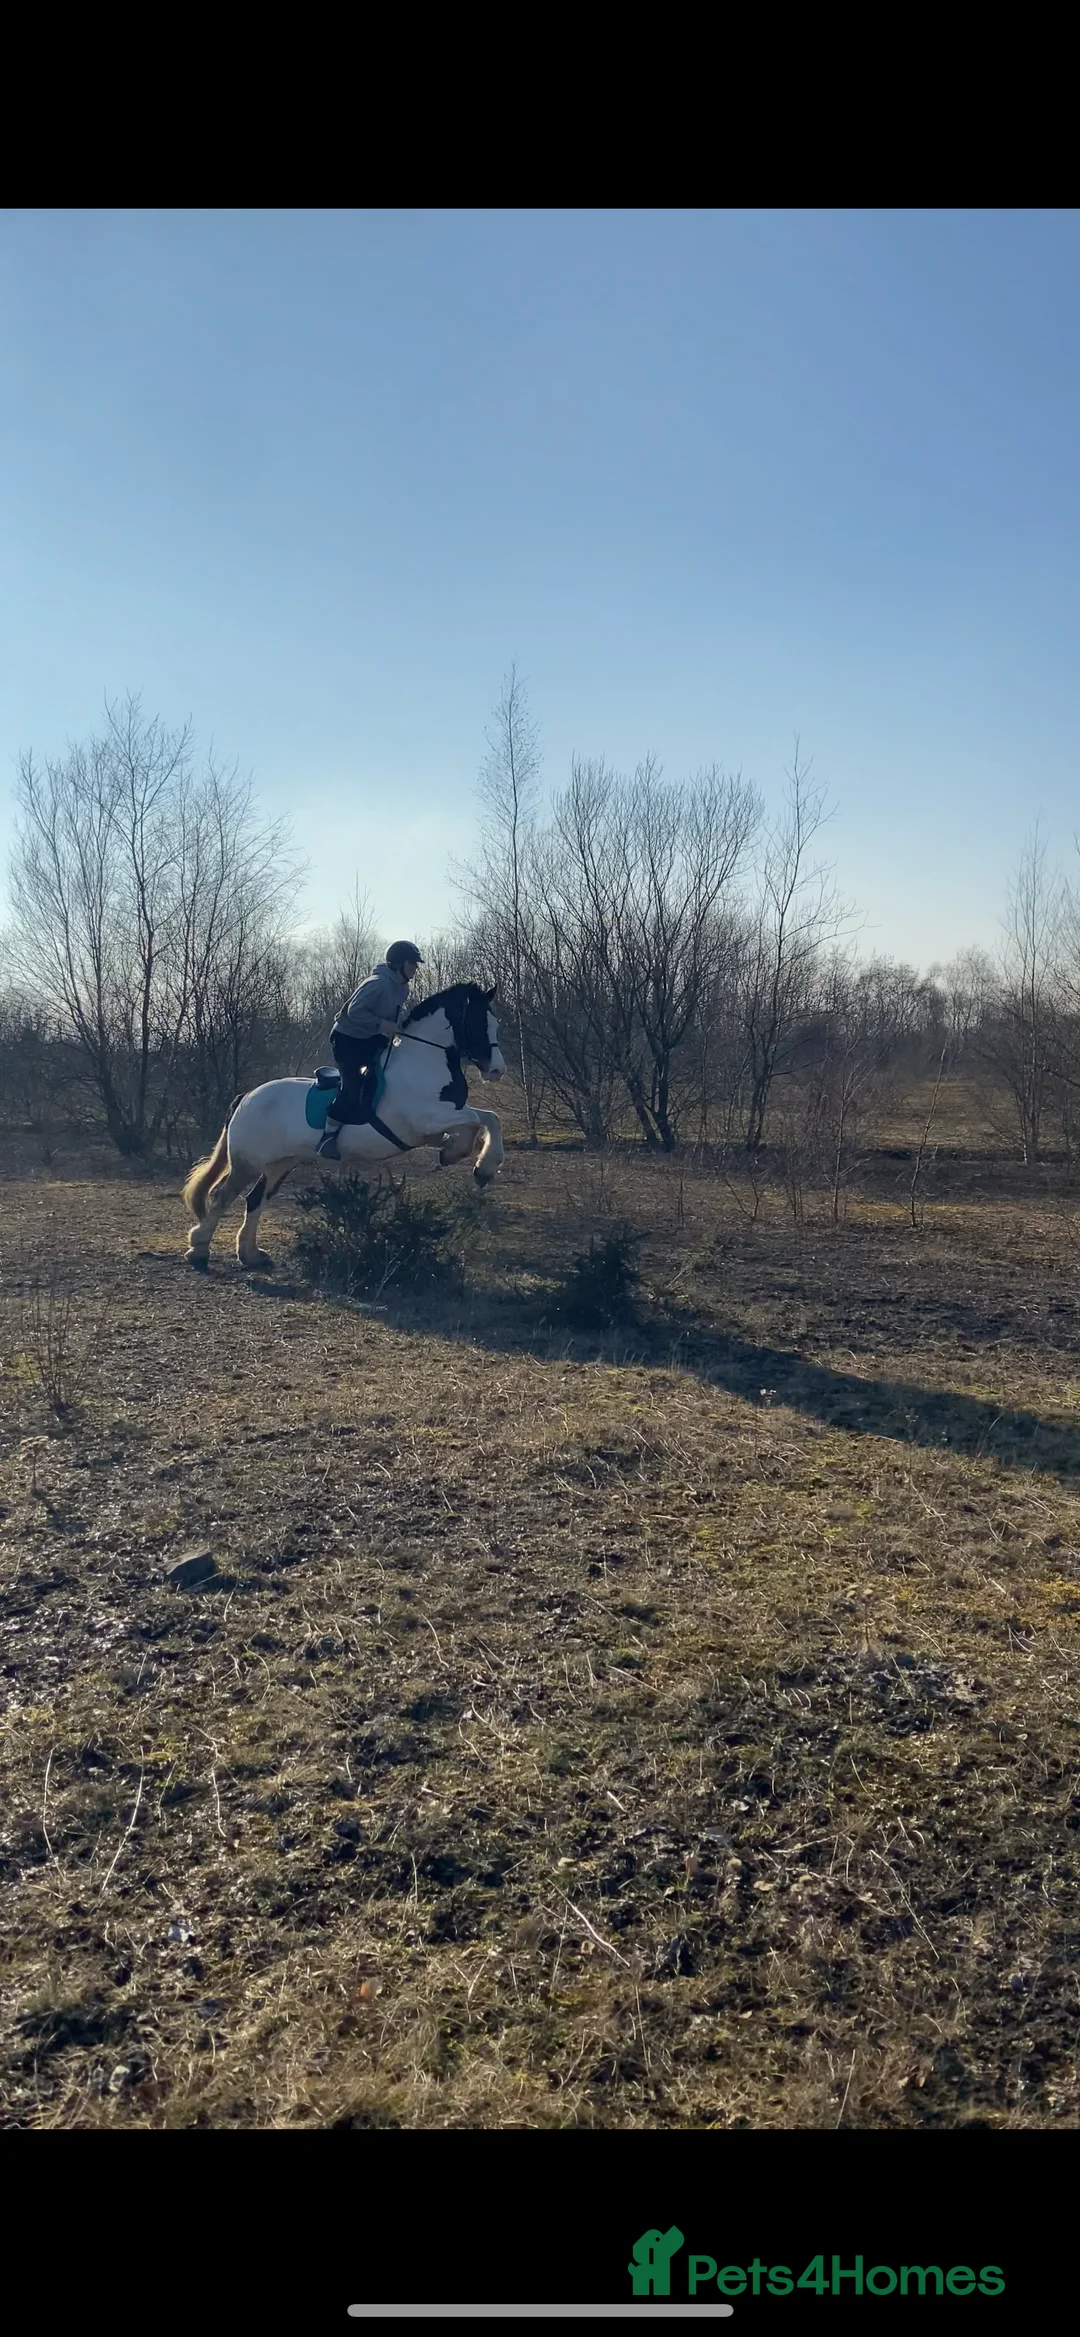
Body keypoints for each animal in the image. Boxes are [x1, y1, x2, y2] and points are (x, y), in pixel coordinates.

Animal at [181, 981, 506, 1271]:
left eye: (495, 1023)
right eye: (478, 1022)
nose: (497, 1071)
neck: (424, 1061)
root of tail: (246, 1097)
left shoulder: (439, 1120)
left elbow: (488, 1118)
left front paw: (471, 1161)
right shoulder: (424, 1119)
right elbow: (476, 1120)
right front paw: (472, 1161)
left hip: (280, 1163)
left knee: (255, 1199)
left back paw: (250, 1255)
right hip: (247, 1162)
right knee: (222, 1196)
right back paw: (199, 1249)